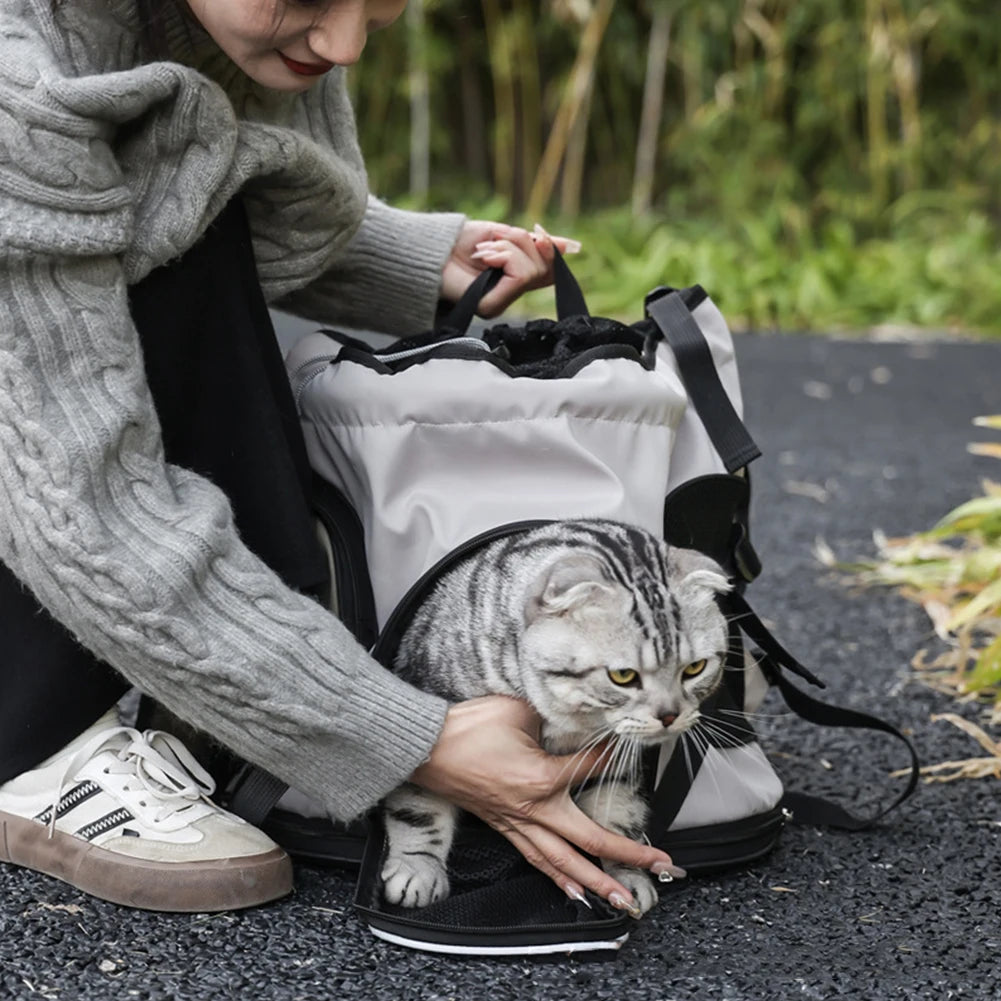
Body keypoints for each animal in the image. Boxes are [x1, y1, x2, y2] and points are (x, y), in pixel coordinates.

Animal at [378, 516, 732, 916]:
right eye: (623, 676)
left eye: (695, 669)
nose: (669, 715)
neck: (573, 722)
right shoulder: (429, 708)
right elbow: (418, 804)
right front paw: (417, 867)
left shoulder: (616, 761)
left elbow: (617, 813)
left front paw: (628, 873)